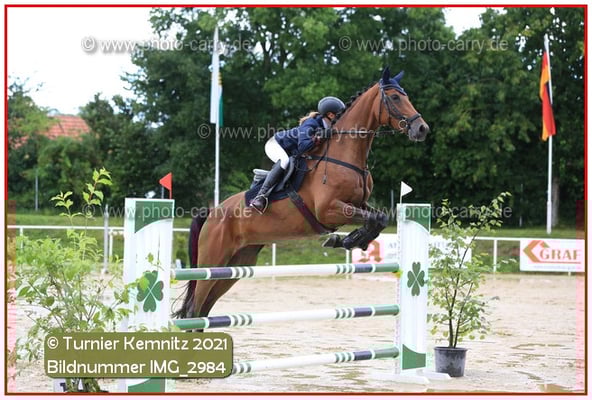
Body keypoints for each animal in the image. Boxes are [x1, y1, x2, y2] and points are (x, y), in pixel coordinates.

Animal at [174, 66, 429, 321]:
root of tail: (212, 212)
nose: (422, 129)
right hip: (212, 260)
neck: (343, 154)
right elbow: (373, 219)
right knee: (194, 308)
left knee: (203, 310)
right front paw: (345, 240)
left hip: (236, 264)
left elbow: (379, 218)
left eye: (406, 96)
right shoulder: (329, 210)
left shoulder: (359, 204)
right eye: (395, 97)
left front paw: (348, 240)